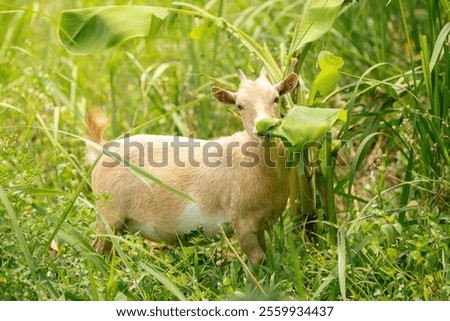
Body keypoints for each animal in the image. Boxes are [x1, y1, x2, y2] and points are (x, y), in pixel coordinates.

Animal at [86, 67, 298, 262]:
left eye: (276, 98)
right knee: (97, 247)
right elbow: (257, 259)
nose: (263, 127)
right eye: (239, 105)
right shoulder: (243, 221)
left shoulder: (266, 221)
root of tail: (103, 147)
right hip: (109, 212)